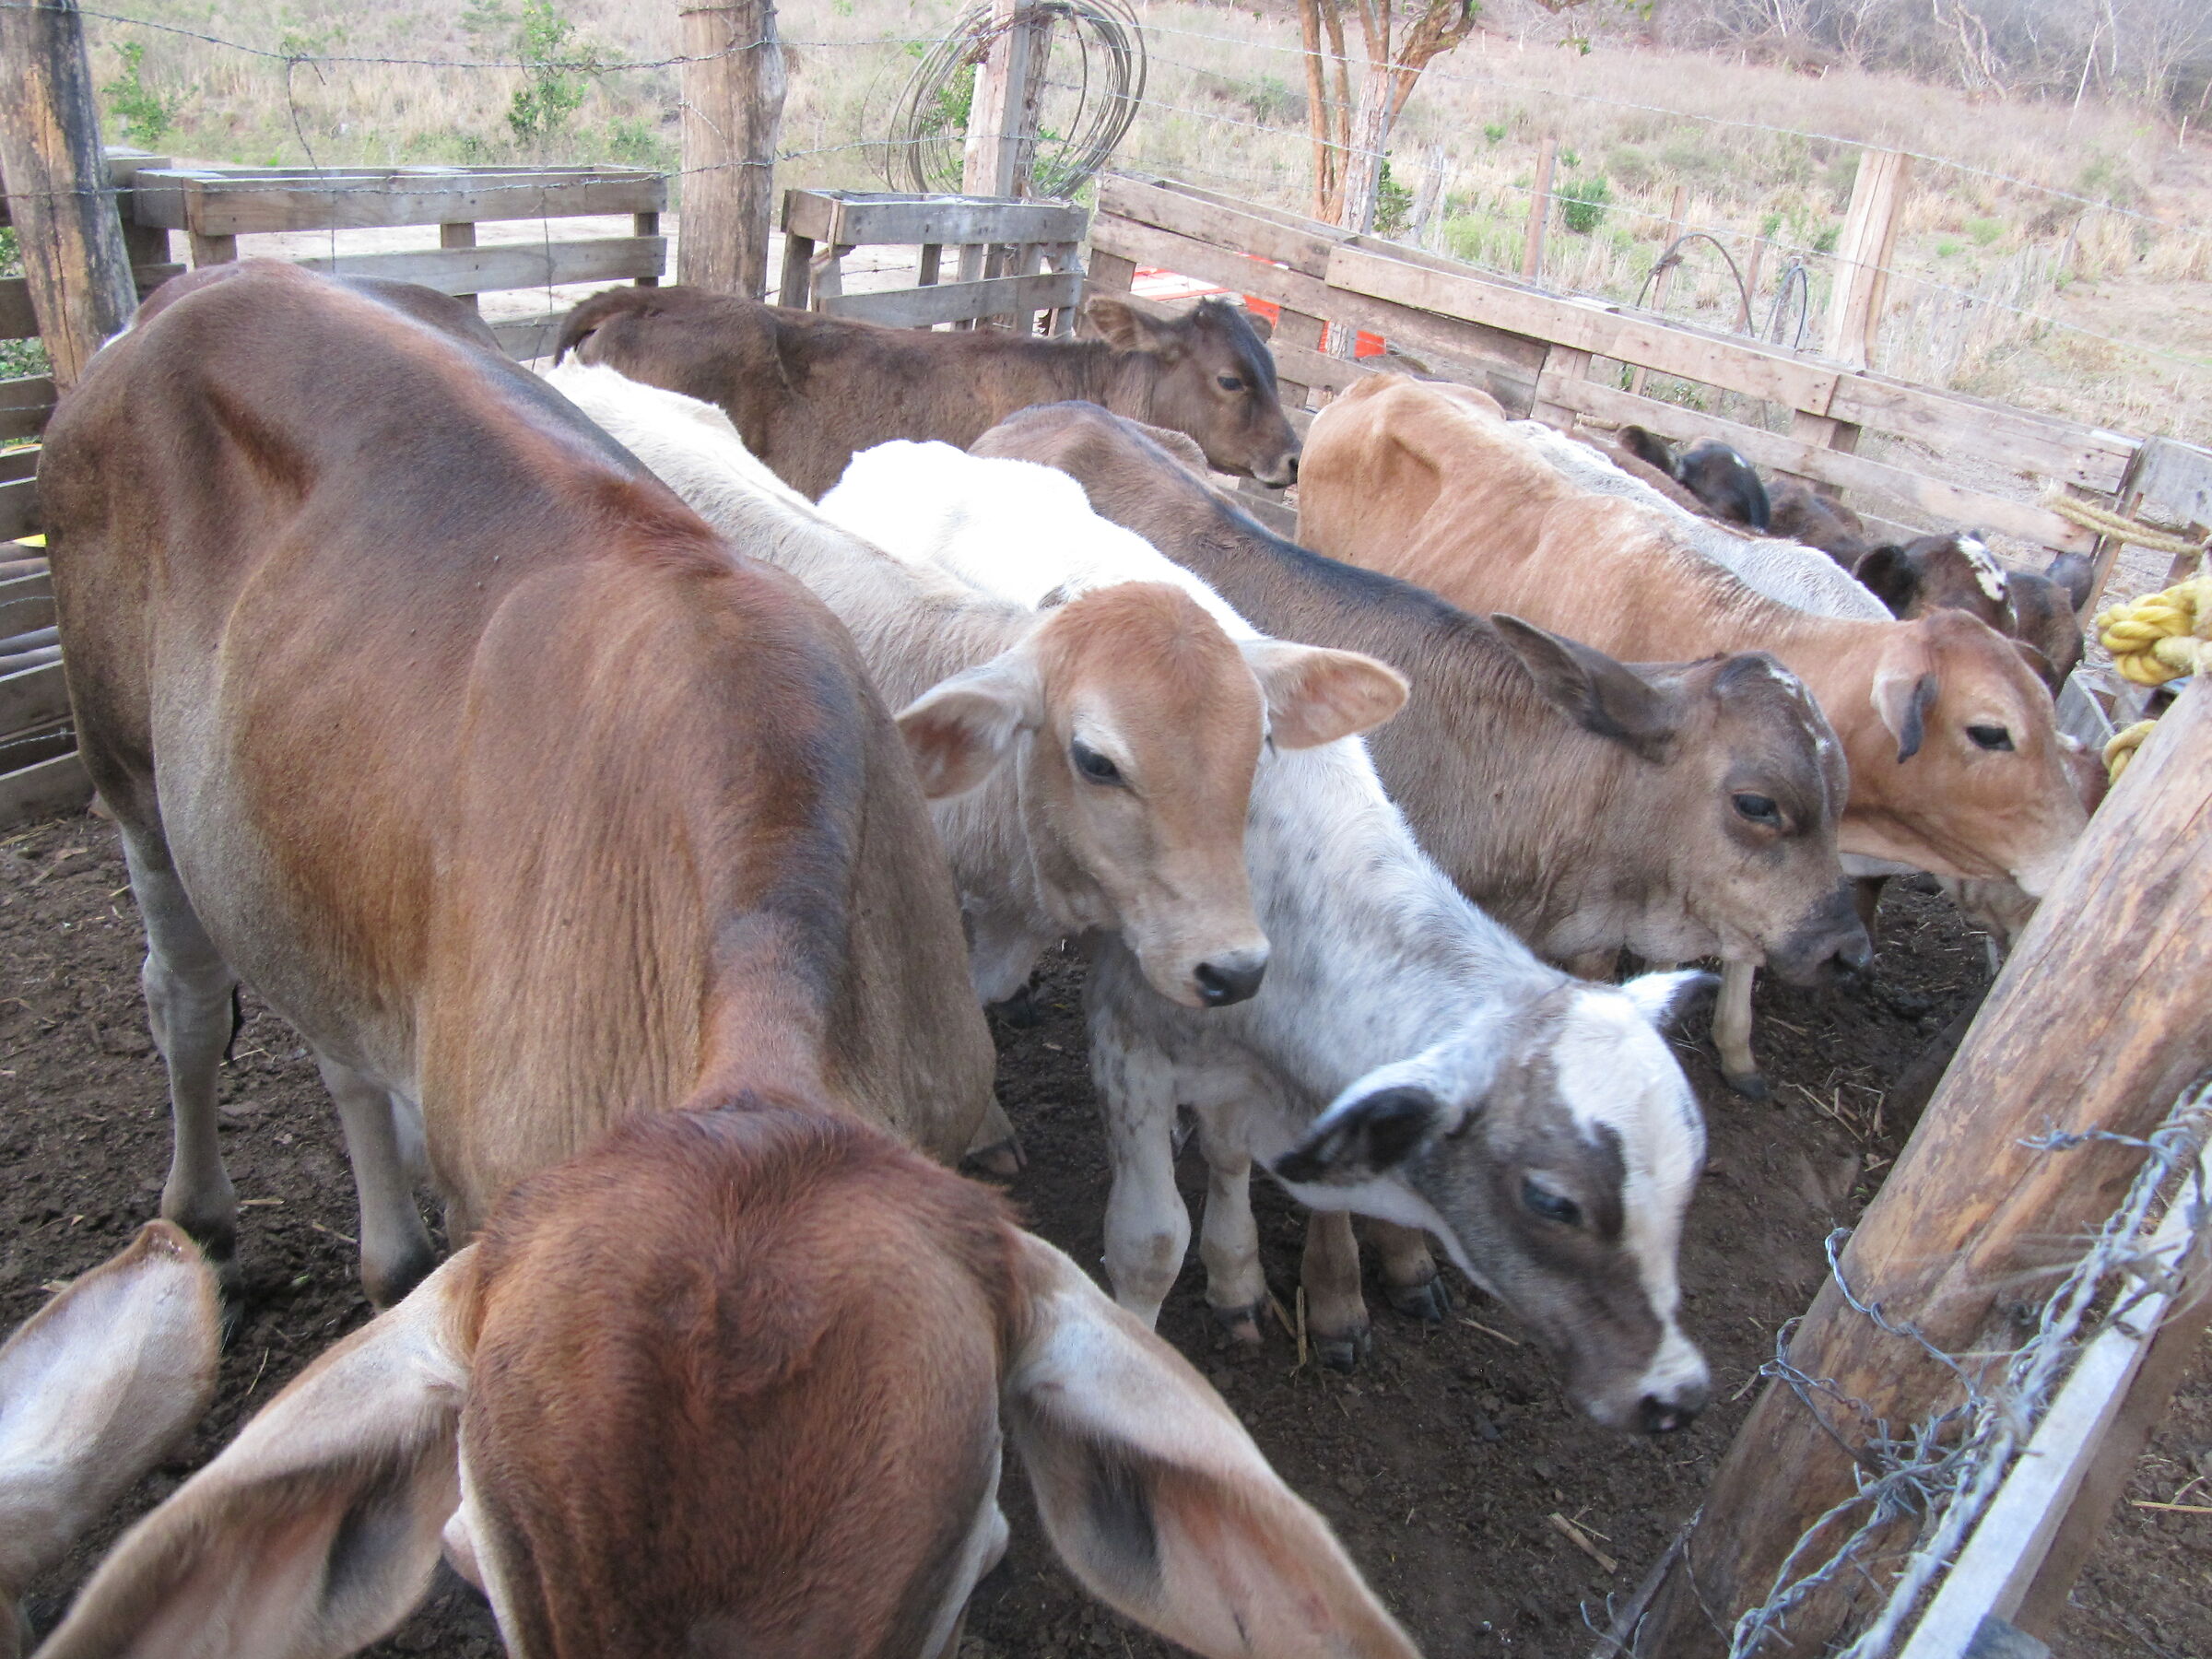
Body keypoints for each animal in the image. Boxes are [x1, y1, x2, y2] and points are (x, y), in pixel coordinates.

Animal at [820, 437, 1716, 1431]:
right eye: (1553, 1200)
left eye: (1688, 1178)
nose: (1674, 1393)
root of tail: (902, 450)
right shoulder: (1131, 1039)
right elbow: (1149, 1240)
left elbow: (1229, 1152)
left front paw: (1239, 1274)